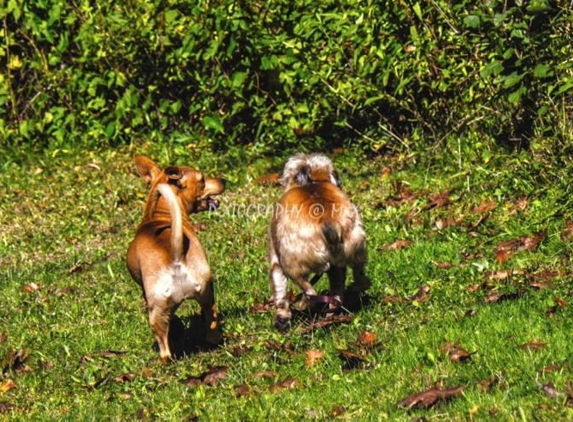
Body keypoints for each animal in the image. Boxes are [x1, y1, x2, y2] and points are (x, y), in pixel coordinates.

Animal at [126, 157, 225, 362]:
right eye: (202, 180)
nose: (224, 180)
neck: (159, 213)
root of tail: (177, 258)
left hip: (157, 311)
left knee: (165, 351)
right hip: (207, 293)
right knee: (211, 324)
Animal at [268, 153, 370, 332]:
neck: (312, 182)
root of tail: (327, 222)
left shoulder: (276, 258)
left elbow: (280, 293)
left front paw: (282, 318)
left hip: (291, 264)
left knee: (310, 292)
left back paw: (304, 304)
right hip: (355, 246)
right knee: (352, 282)